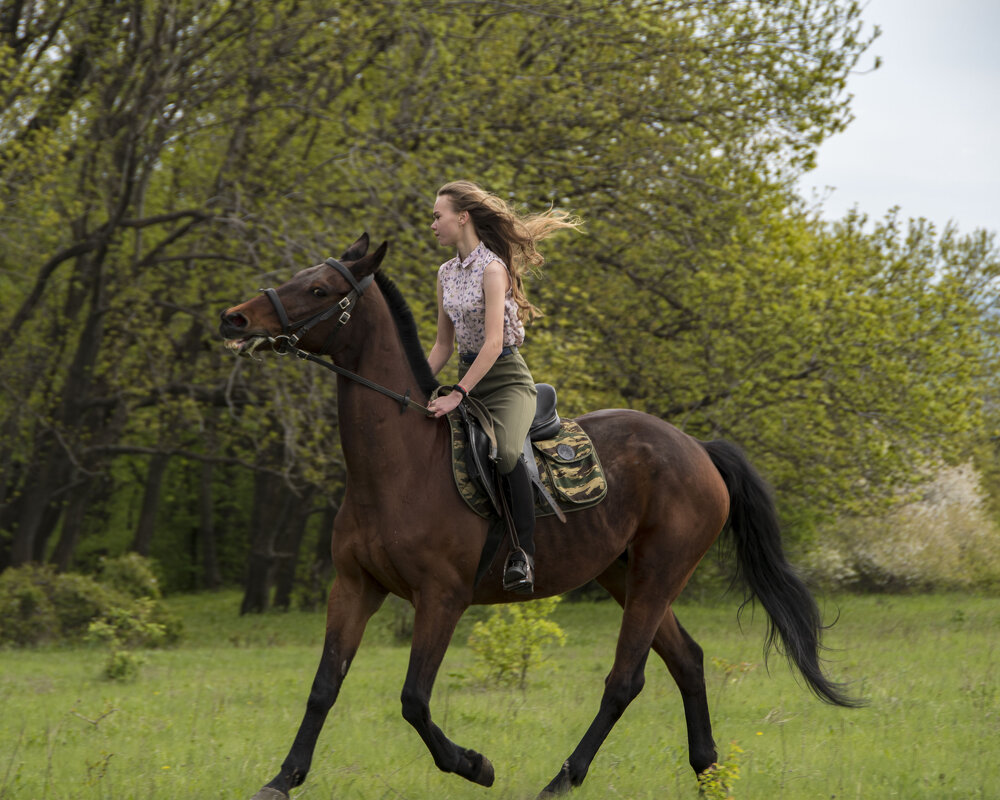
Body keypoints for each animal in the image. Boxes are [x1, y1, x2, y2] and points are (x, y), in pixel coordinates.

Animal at [219, 234, 860, 796]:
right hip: (625, 575)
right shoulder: (354, 586)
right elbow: (324, 686)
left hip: (660, 573)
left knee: (625, 680)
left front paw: (475, 765)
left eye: (320, 289)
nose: (235, 320)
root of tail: (697, 448)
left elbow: (414, 700)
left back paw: (562, 780)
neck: (402, 465)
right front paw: (283, 779)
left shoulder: (441, 598)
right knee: (688, 661)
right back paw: (707, 773)